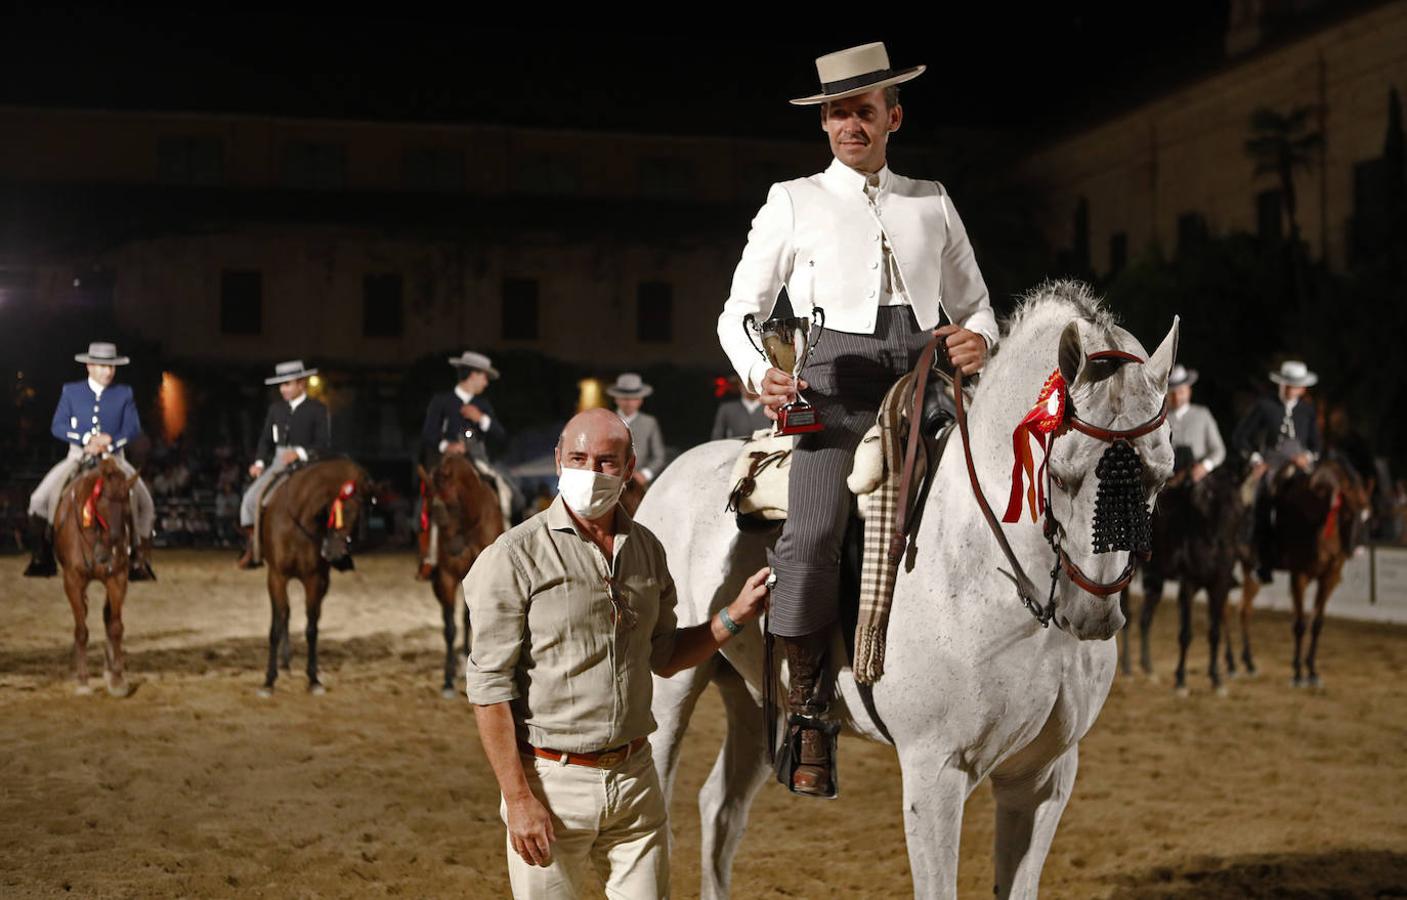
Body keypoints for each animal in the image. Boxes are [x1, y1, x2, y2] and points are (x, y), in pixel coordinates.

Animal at [54, 455, 140, 697]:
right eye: (102, 502)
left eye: (127, 504)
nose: (117, 541)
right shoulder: (72, 581)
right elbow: (82, 630)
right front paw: (83, 681)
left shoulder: (117, 578)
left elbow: (115, 626)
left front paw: (118, 679)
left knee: (107, 617)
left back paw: (109, 670)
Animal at [256, 455, 371, 697]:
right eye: (342, 511)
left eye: (359, 516)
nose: (335, 553)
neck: (298, 521)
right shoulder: (277, 576)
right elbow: (276, 626)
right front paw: (269, 680)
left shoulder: (315, 580)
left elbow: (311, 628)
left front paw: (313, 679)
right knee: (282, 616)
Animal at [416, 452, 506, 700]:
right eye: (429, 512)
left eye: (452, 506)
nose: (454, 550)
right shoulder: (445, 579)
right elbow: (449, 628)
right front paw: (447, 680)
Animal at [638, 282, 1176, 900]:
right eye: (1062, 474)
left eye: (1162, 475)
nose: (1092, 614)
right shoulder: (934, 774)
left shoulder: (1045, 778)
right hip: (669, 691)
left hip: (750, 697)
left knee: (720, 807)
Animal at [1232, 461, 1373, 686]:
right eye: (1348, 513)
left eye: (1369, 515)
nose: (1359, 550)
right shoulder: (1299, 576)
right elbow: (1299, 624)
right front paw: (1298, 673)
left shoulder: (1329, 578)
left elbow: (1317, 624)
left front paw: (1312, 671)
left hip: (1250, 572)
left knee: (1244, 610)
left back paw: (1249, 663)